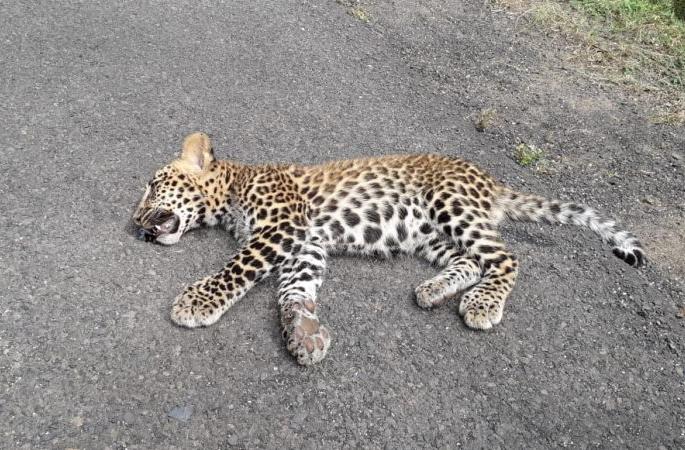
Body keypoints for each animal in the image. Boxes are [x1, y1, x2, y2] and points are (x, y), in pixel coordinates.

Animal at [132, 132, 645, 366]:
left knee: (505, 258)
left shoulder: (282, 228)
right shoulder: (305, 246)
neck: (235, 188)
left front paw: (196, 302)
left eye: (153, 186)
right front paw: (304, 332)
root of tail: (490, 182)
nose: (135, 225)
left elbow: (237, 267)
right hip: (430, 234)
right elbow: (295, 290)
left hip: (452, 205)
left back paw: (481, 305)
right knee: (470, 260)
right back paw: (435, 291)